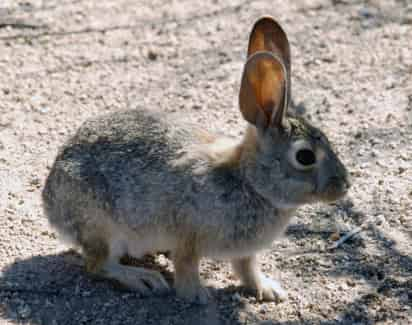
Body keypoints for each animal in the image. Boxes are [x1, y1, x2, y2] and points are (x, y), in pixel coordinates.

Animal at [43, 16, 350, 302]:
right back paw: (144, 279)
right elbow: (187, 267)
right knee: (98, 264)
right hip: (102, 227)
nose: (345, 185)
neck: (250, 182)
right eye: (305, 156)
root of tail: (50, 201)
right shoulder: (188, 238)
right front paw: (199, 296)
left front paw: (268, 289)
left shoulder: (245, 252)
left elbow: (247, 269)